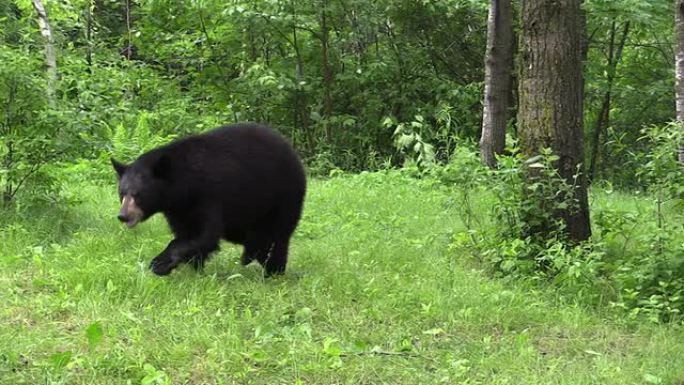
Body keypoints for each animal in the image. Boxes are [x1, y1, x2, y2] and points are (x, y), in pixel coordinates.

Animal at [110, 121, 308, 274]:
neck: (183, 184)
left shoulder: (208, 195)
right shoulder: (178, 209)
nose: (123, 216)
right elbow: (187, 233)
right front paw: (194, 268)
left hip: (281, 198)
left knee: (276, 237)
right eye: (122, 193)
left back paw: (273, 270)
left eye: (138, 194)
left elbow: (204, 234)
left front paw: (160, 263)